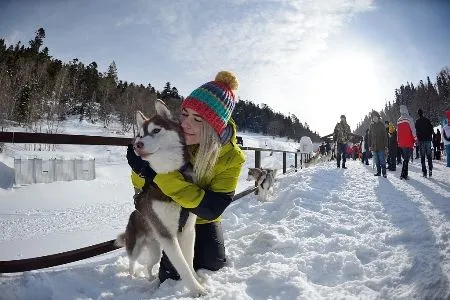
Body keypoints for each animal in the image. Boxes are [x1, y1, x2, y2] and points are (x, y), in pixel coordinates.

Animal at [116, 100, 207, 296]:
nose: (137, 144)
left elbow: (189, 261)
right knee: (132, 261)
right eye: (140, 134)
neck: (170, 176)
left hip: (156, 250)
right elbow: (182, 265)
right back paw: (132, 276)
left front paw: (197, 280)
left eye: (156, 130)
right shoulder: (167, 235)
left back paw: (150, 278)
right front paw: (197, 290)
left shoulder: (188, 230)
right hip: (136, 246)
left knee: (150, 265)